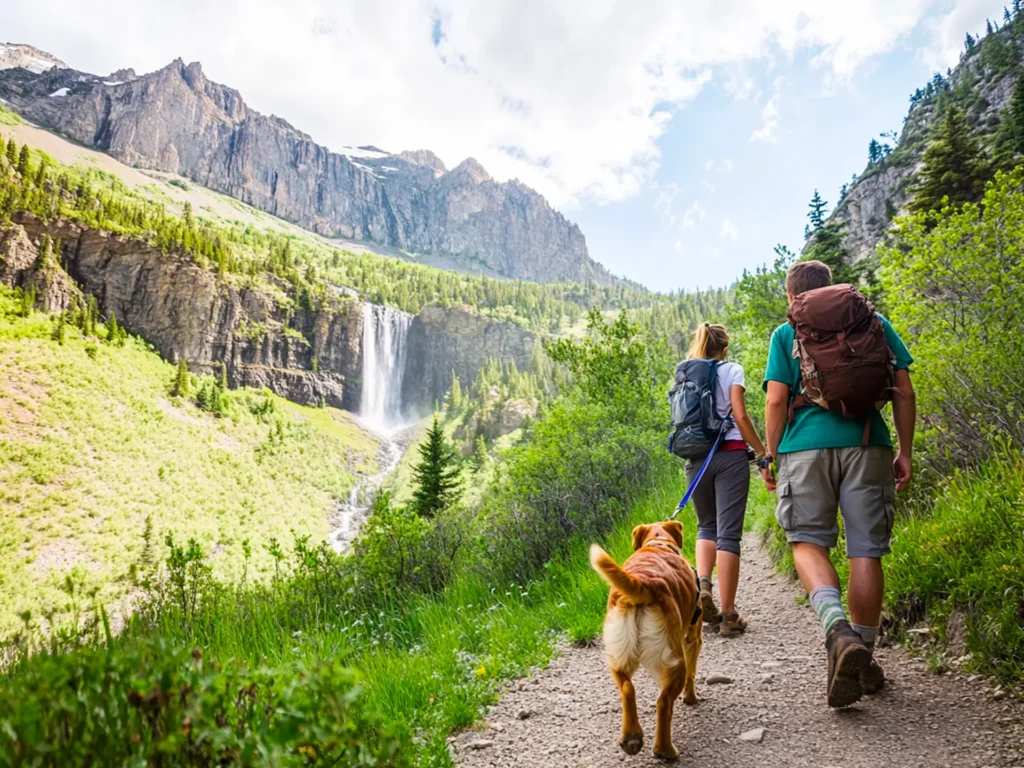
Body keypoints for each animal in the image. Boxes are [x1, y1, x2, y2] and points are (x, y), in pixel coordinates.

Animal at [593, 520, 704, 761]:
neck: (658, 542)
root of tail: (643, 582)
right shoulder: (692, 638)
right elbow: (692, 674)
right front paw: (691, 698)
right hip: (676, 660)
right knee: (663, 702)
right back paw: (665, 750)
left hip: (618, 656)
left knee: (627, 688)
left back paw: (631, 737)